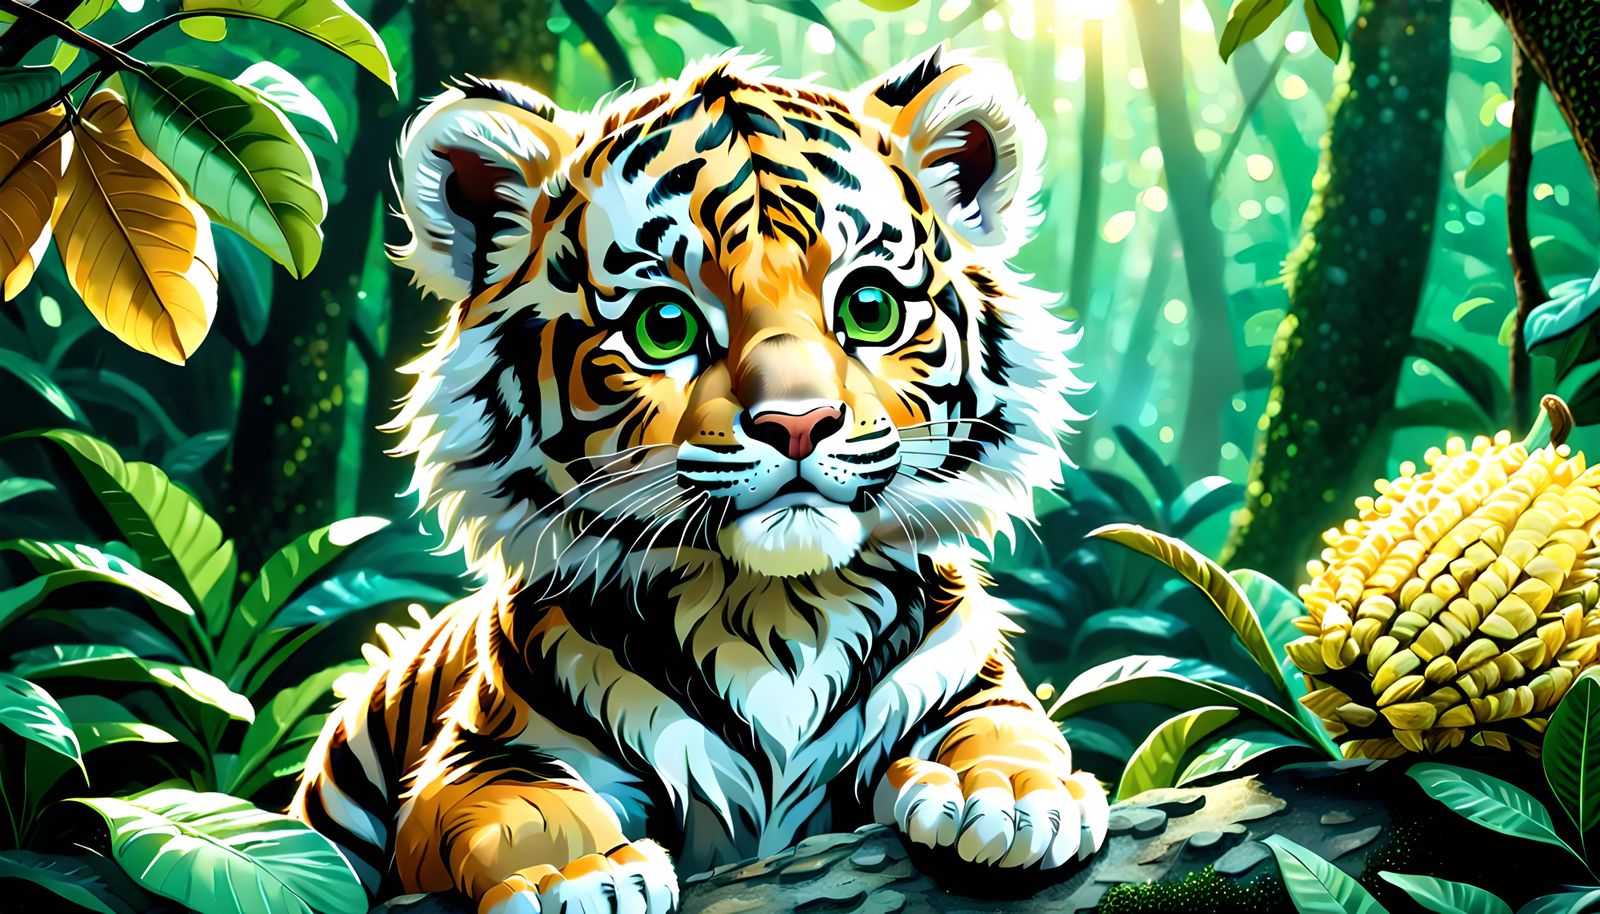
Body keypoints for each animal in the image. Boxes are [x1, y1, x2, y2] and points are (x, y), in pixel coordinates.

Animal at [292, 44, 1107, 914]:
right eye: (664, 325)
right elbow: (524, 802)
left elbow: (1008, 729)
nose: (799, 423)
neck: (779, 610)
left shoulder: (973, 684)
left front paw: (1012, 801)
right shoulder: (481, 750)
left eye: (871, 307)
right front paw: (580, 876)